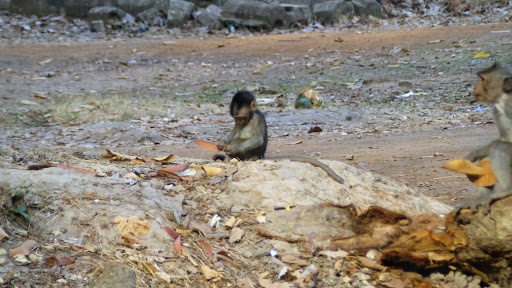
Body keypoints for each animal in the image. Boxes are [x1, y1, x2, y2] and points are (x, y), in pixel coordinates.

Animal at [214, 90, 346, 184]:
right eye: (236, 118)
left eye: (241, 117)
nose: (240, 121)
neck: (250, 117)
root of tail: (260, 157)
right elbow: (234, 131)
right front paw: (221, 143)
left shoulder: (256, 118)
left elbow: (258, 139)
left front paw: (234, 148)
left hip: (250, 155)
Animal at [458, 63, 512, 212]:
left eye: (482, 79)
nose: (474, 87)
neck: (505, 98)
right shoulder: (498, 110)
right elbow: (505, 138)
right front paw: (474, 154)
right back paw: (481, 198)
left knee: (498, 147)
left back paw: (507, 189)